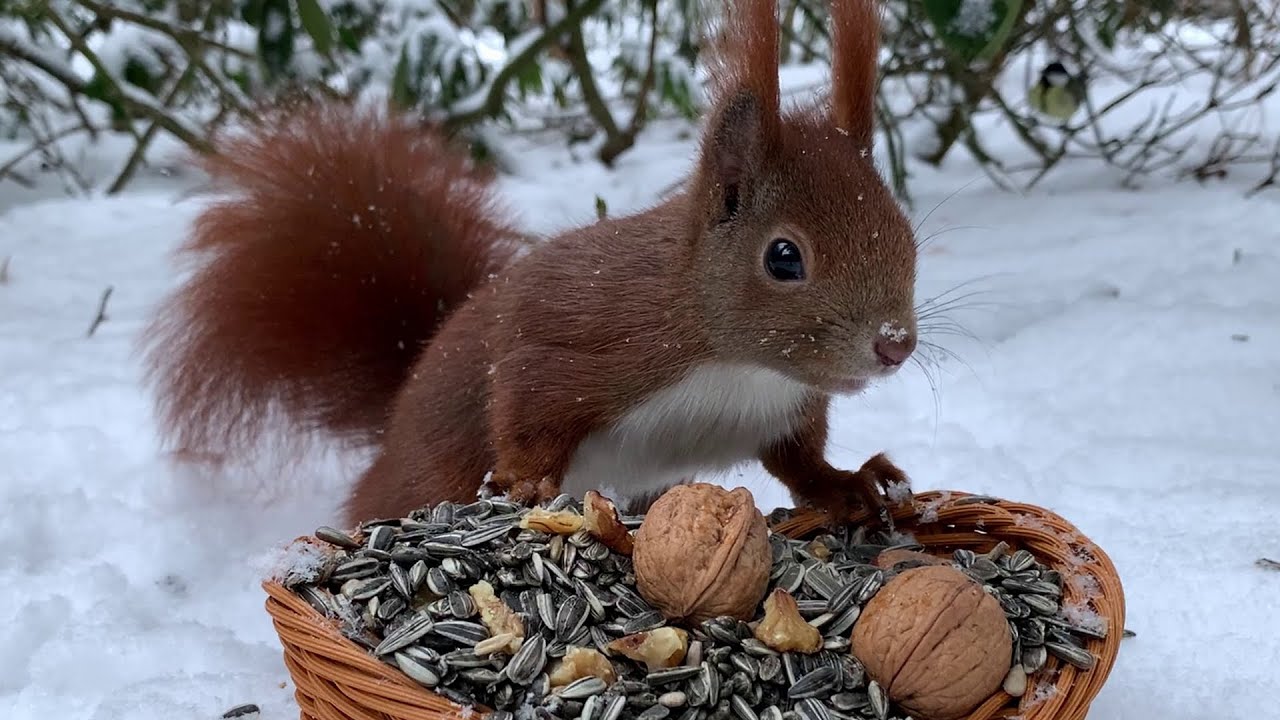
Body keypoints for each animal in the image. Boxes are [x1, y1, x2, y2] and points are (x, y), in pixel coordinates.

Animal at [140, 0, 919, 527]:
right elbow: (524, 393)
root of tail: (393, 422)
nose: (895, 345)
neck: (735, 365)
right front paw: (525, 484)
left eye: (907, 232)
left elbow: (798, 461)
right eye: (784, 257)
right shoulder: (581, 330)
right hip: (427, 476)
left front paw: (847, 483)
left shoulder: (787, 407)